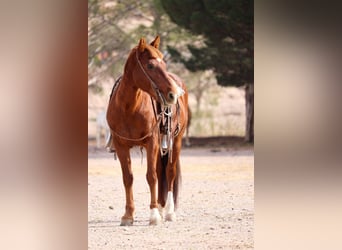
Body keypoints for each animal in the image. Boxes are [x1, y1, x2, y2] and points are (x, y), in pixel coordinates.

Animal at [106, 36, 188, 226]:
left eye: (164, 64)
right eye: (150, 66)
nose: (173, 94)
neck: (128, 108)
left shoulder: (151, 142)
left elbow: (151, 176)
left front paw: (154, 215)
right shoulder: (121, 146)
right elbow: (128, 178)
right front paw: (128, 215)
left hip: (176, 142)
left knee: (169, 172)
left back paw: (168, 212)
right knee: (160, 170)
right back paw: (160, 206)